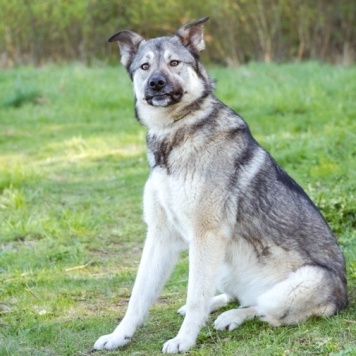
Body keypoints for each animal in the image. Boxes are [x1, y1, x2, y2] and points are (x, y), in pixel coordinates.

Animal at [94, 17, 348, 354]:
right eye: (144, 67)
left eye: (174, 63)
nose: (156, 83)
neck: (175, 132)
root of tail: (345, 299)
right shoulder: (161, 235)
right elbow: (139, 295)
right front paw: (119, 335)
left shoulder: (206, 234)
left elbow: (194, 294)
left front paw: (184, 339)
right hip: (225, 263)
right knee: (234, 295)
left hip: (299, 281)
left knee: (262, 309)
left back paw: (232, 317)